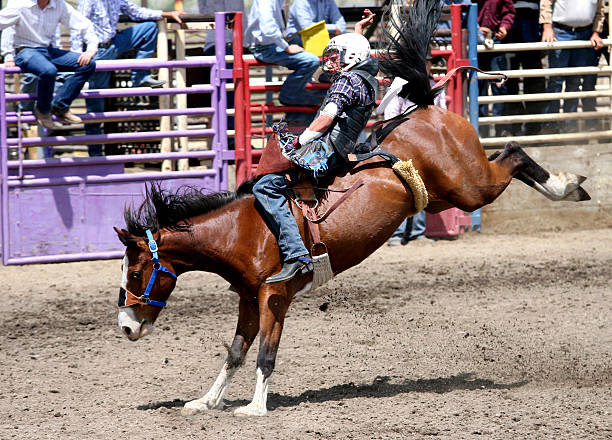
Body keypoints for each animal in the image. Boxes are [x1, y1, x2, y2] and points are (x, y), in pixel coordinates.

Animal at [113, 0, 588, 416]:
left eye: (135, 274)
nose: (126, 328)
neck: (244, 227)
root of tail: (425, 107)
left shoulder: (273, 295)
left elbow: (266, 353)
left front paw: (255, 408)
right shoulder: (248, 297)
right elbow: (234, 352)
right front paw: (205, 402)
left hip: (471, 186)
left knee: (513, 153)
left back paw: (567, 186)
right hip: (447, 193)